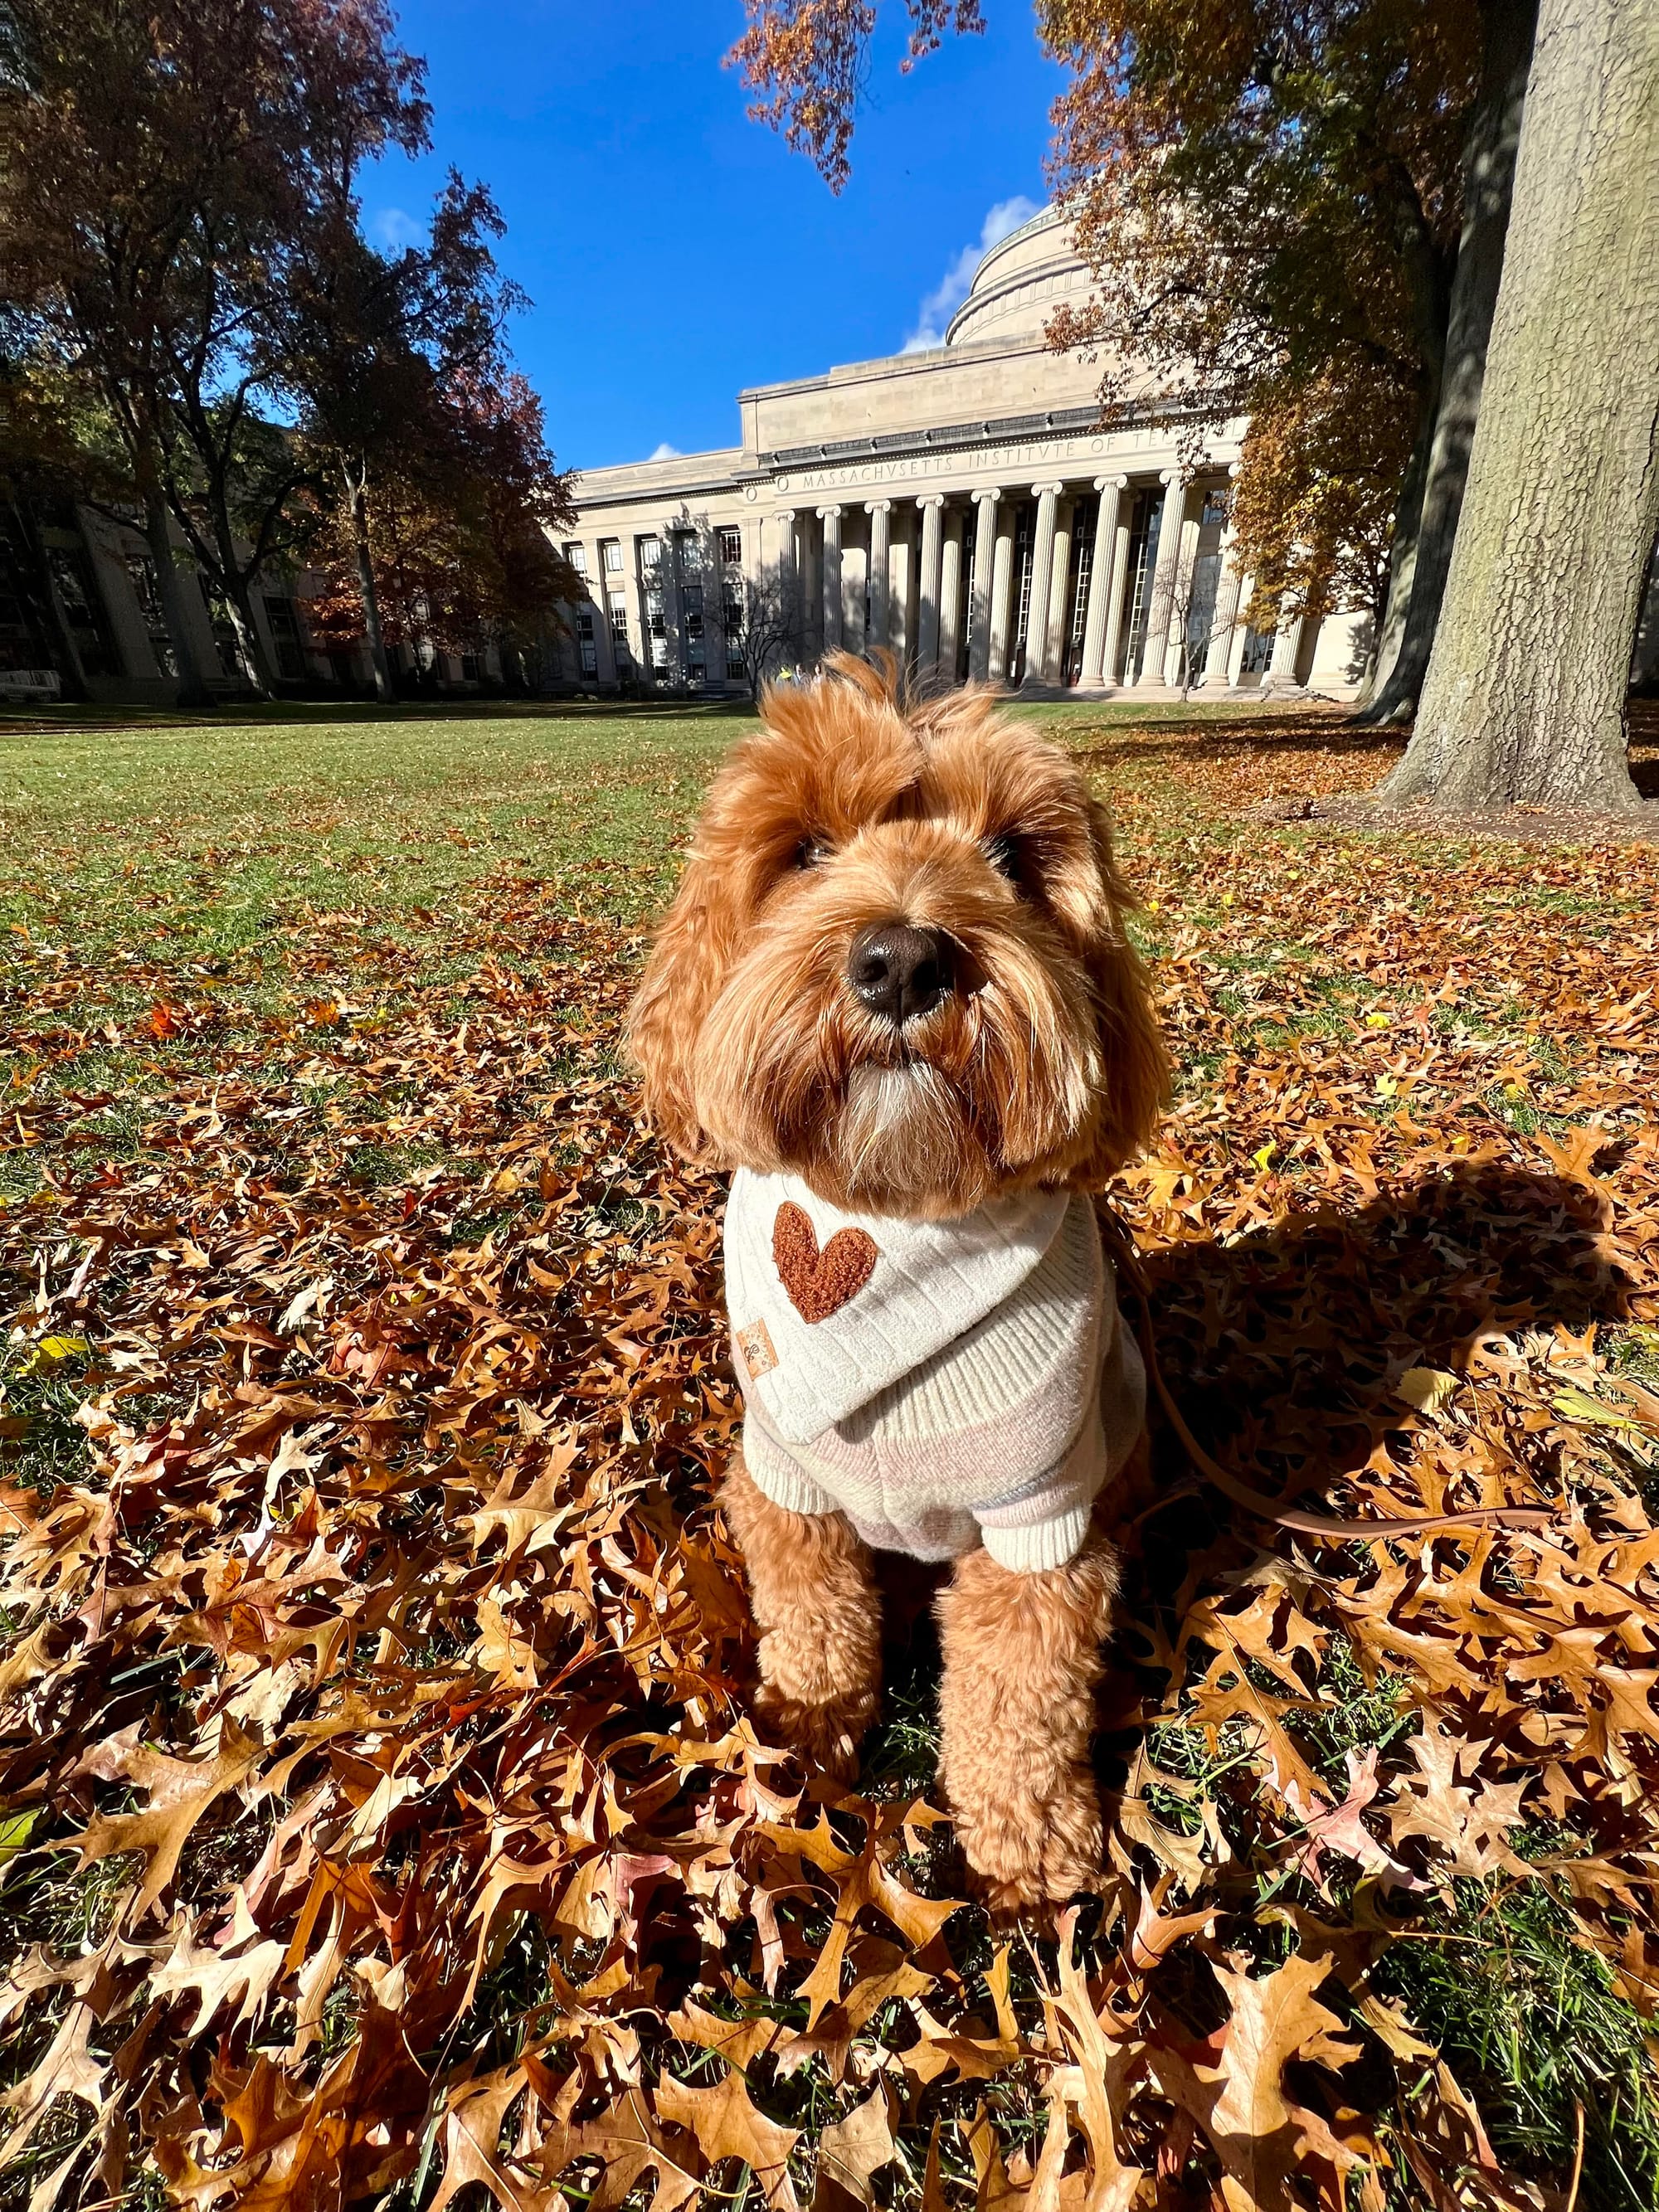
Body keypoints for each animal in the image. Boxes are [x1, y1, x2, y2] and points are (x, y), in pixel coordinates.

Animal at [624, 645, 1168, 1911]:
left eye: (1012, 853)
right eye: (807, 848)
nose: (905, 959)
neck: (890, 1235)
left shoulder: (1038, 1522)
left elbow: (1019, 1695)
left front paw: (1030, 1838)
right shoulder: (786, 1479)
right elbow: (815, 1617)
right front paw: (806, 1731)